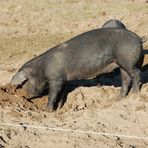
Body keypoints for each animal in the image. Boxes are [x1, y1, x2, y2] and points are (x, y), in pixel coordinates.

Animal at [11, 27, 144, 111]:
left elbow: (52, 94)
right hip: (121, 63)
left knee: (136, 73)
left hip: (127, 60)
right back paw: (119, 98)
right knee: (126, 79)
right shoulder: (63, 80)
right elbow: (61, 95)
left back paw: (135, 94)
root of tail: (139, 39)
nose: (21, 95)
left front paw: (47, 110)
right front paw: (59, 109)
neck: (41, 69)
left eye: (23, 83)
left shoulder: (55, 78)